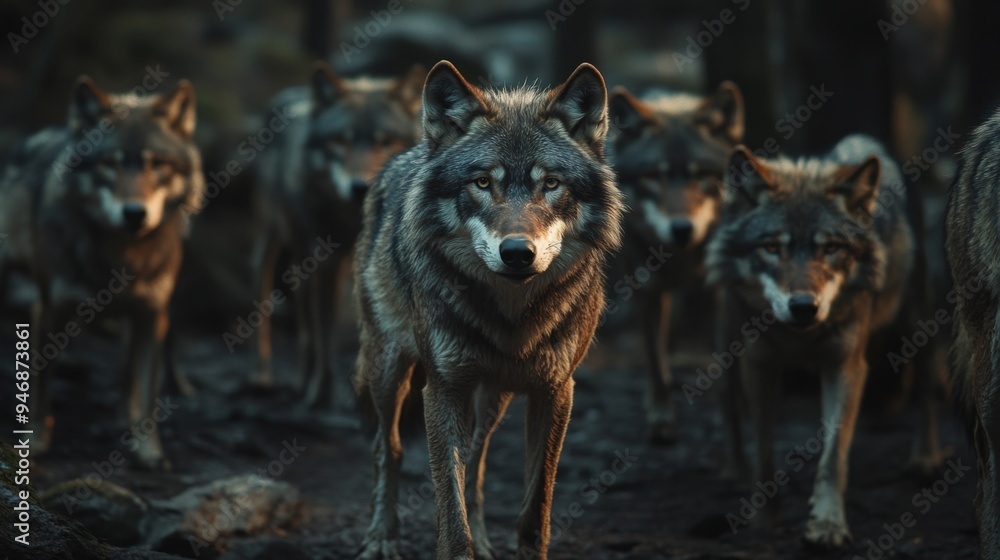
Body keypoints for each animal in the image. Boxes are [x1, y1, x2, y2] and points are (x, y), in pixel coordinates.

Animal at [0, 76, 203, 470]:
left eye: (156, 164)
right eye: (110, 163)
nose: (134, 213)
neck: (121, 259)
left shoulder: (152, 316)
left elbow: (147, 393)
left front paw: (149, 451)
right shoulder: (48, 307)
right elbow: (41, 386)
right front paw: (36, 442)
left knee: (127, 375)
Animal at [249, 62, 422, 407]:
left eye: (385, 141)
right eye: (342, 141)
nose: (360, 187)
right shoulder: (326, 265)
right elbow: (325, 332)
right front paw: (321, 394)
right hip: (279, 240)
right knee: (272, 290)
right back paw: (268, 377)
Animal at [353, 61, 623, 560]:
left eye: (550, 183)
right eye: (482, 182)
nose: (517, 253)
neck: (511, 316)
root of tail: (405, 156)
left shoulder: (555, 391)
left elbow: (535, 508)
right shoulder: (442, 389)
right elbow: (449, 508)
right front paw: (457, 541)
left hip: (494, 395)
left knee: (477, 458)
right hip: (389, 370)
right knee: (389, 447)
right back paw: (382, 536)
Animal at [607, 81, 743, 442]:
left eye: (701, 176)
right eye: (656, 175)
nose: (682, 228)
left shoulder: (718, 295)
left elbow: (723, 365)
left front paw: (725, 421)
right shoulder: (646, 292)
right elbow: (655, 359)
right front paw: (660, 416)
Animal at [707, 135, 944, 547]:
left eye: (830, 248)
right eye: (772, 247)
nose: (804, 307)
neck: (799, 339)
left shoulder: (845, 366)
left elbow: (833, 455)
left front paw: (829, 525)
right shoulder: (759, 364)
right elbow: (763, 447)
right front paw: (764, 519)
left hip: (918, 319)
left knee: (927, 388)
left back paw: (925, 458)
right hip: (726, 339)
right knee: (728, 403)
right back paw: (733, 470)